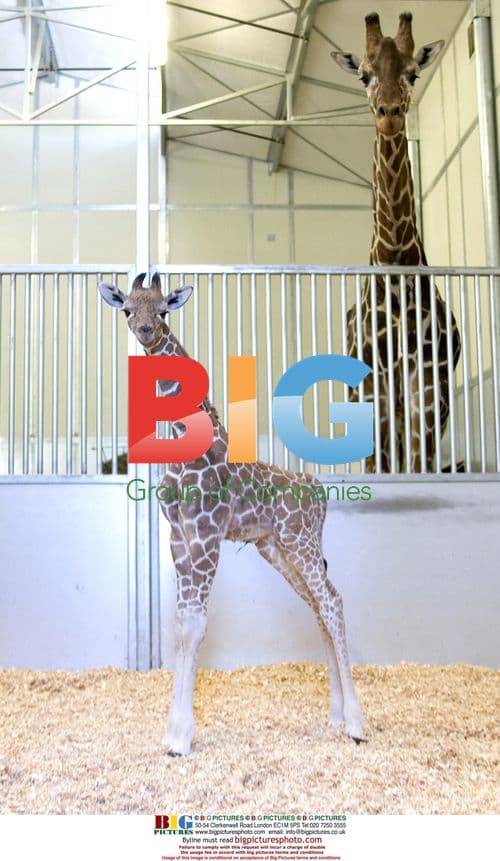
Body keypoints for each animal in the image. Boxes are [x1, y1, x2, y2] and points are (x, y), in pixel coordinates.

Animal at [98, 272, 365, 755]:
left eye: (162, 309)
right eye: (127, 308)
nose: (145, 332)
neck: (185, 436)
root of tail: (319, 491)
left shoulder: (206, 534)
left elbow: (195, 626)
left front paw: (180, 737)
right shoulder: (179, 536)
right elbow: (182, 622)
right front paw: (173, 732)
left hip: (299, 541)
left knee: (333, 602)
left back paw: (356, 724)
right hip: (276, 549)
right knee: (319, 606)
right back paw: (335, 716)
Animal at [332, 11, 461, 472]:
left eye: (413, 73)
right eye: (365, 75)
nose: (389, 113)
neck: (396, 256)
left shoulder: (428, 384)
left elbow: (419, 468)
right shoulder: (376, 386)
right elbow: (382, 468)